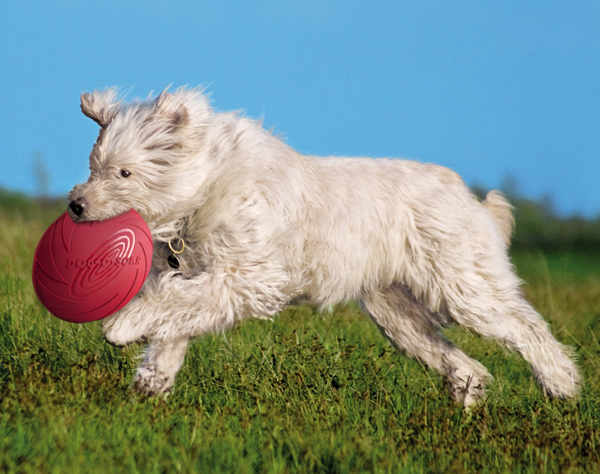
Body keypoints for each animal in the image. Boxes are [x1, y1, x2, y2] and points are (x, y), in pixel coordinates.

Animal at [67, 88, 580, 408]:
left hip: (463, 288)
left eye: (124, 172)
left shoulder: (247, 278)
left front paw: (122, 327)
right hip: (397, 315)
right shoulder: (203, 276)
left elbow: (168, 305)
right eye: (92, 166)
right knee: (466, 362)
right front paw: (151, 384)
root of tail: (469, 198)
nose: (75, 204)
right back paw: (469, 402)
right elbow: (173, 320)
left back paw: (563, 386)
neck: (203, 190)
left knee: (528, 328)